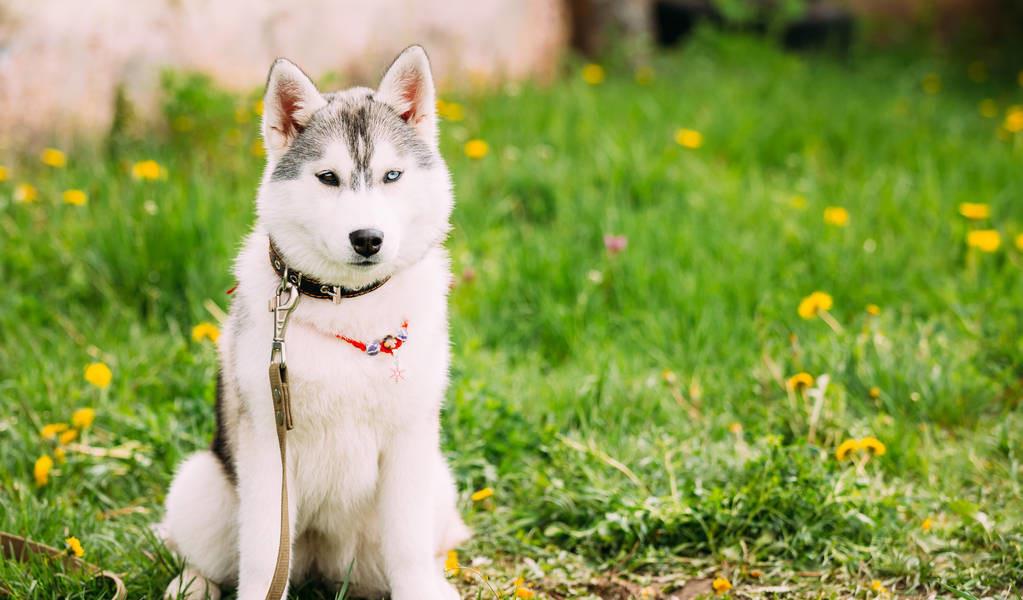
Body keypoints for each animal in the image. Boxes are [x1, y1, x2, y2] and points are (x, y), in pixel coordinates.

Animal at [159, 48, 468, 600]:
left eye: (392, 176)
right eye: (328, 178)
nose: (367, 238)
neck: (348, 304)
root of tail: (324, 564)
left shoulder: (411, 442)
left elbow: (409, 548)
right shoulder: (268, 449)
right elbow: (263, 559)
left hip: (437, 484)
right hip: (201, 485)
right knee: (204, 555)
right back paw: (190, 584)